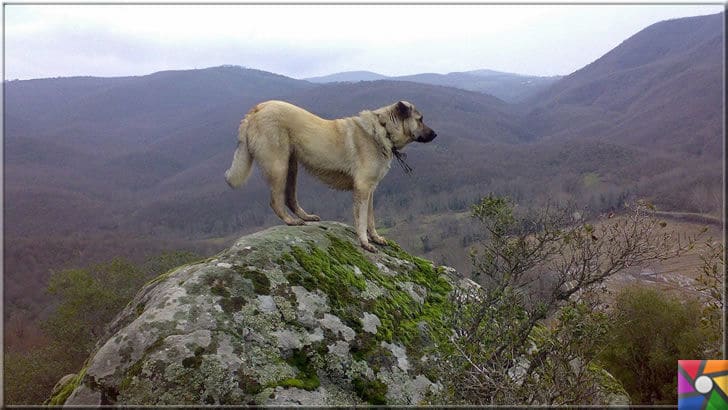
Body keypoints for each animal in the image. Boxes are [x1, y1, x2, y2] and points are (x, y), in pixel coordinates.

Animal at [225, 101, 436, 251]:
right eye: (420, 119)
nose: (435, 134)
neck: (383, 129)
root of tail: (257, 108)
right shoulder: (362, 189)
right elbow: (361, 219)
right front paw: (365, 242)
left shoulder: (370, 191)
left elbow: (371, 218)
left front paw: (375, 238)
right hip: (279, 166)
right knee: (276, 200)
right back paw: (291, 221)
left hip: (292, 166)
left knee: (290, 198)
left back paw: (305, 216)